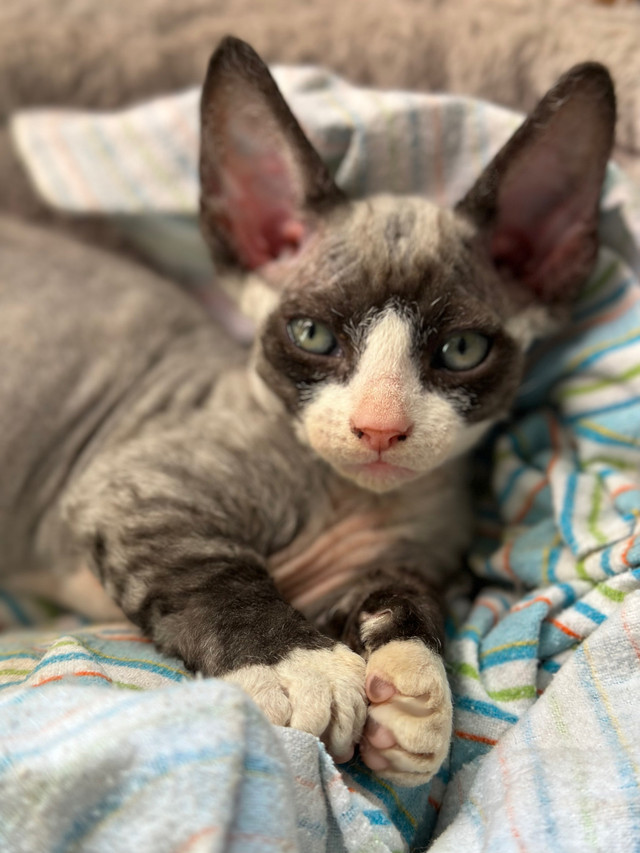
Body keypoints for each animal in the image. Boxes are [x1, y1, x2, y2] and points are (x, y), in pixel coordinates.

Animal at [1, 40, 616, 784]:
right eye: (313, 336)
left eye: (462, 350)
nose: (380, 426)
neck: (353, 498)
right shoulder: (129, 486)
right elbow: (217, 575)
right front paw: (304, 668)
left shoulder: (395, 564)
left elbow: (408, 598)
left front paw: (415, 694)